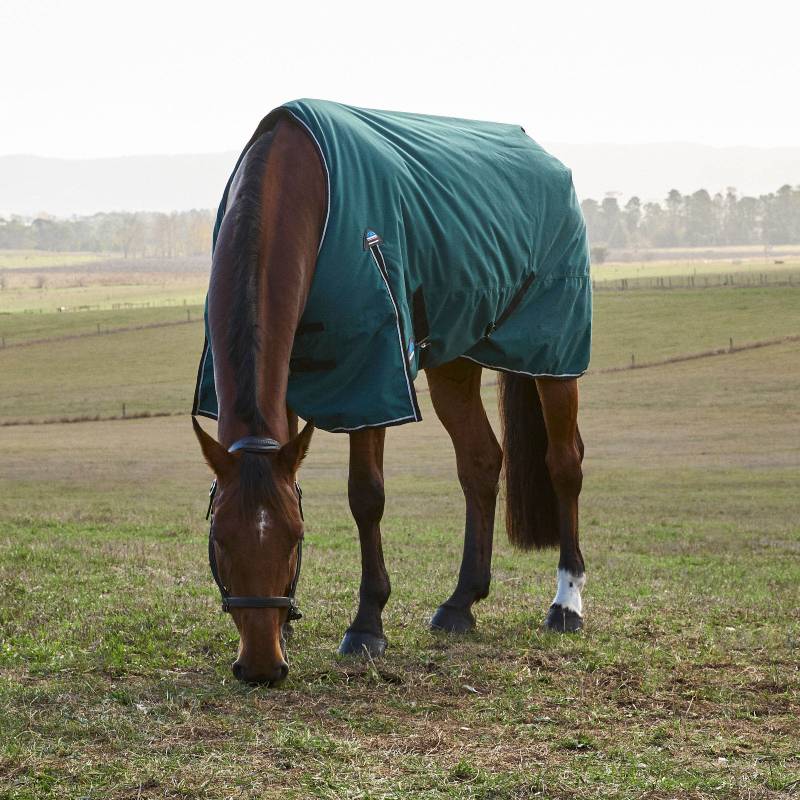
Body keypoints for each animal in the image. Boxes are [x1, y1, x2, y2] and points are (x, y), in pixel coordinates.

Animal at [192, 101, 589, 685]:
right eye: (219, 539)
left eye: (295, 536)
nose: (262, 665)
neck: (301, 183)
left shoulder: (373, 375)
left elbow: (366, 496)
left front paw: (366, 625)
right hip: (453, 359)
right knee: (480, 461)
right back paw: (460, 603)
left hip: (554, 353)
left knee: (565, 462)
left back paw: (566, 602)